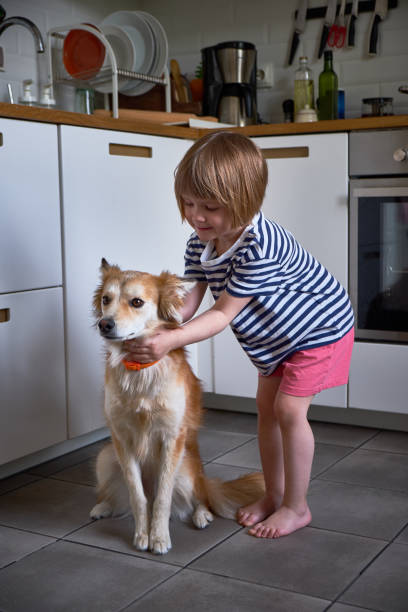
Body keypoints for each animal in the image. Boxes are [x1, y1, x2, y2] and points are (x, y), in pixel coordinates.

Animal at [90, 258, 264, 556]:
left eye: (137, 302)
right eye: (106, 299)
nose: (105, 324)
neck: (141, 373)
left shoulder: (171, 438)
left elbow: (162, 498)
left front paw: (159, 538)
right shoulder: (121, 438)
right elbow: (137, 496)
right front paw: (142, 534)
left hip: (186, 470)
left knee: (200, 498)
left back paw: (202, 515)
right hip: (106, 457)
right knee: (124, 496)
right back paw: (103, 506)